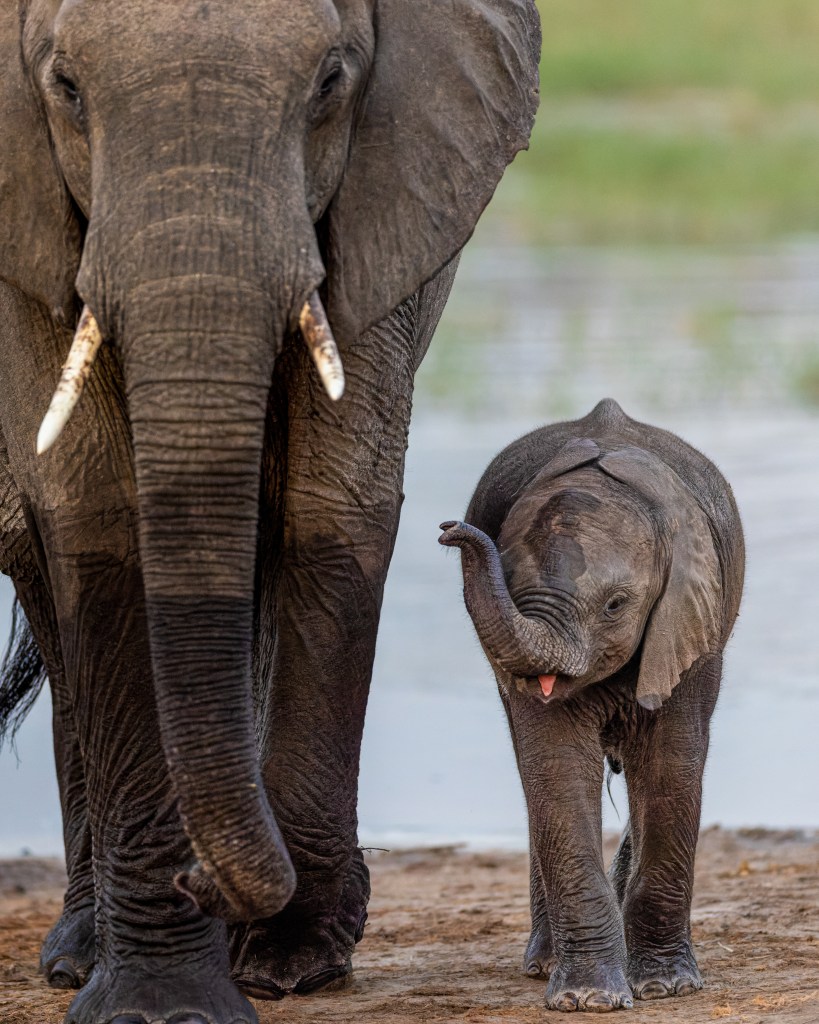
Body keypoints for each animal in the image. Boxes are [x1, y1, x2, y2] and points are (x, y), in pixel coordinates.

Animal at [0, 2, 540, 1023]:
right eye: (66, 89)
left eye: (330, 82)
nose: (199, 880)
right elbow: (93, 516)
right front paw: (157, 1000)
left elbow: (331, 507)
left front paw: (293, 958)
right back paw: (79, 951)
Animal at [439, 398, 745, 1012]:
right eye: (510, 585)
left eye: (616, 605)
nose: (450, 530)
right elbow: (555, 769)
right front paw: (588, 1000)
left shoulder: (691, 621)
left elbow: (673, 764)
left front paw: (667, 988)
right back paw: (544, 965)